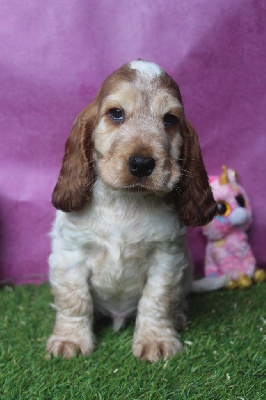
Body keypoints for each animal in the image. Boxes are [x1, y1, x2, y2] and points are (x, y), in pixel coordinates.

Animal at [45, 59, 217, 362]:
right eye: (116, 113)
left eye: (170, 119)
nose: (141, 163)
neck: (125, 203)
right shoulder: (70, 254)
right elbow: (74, 300)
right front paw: (70, 340)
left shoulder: (166, 258)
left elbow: (156, 301)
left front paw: (156, 341)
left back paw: (179, 317)